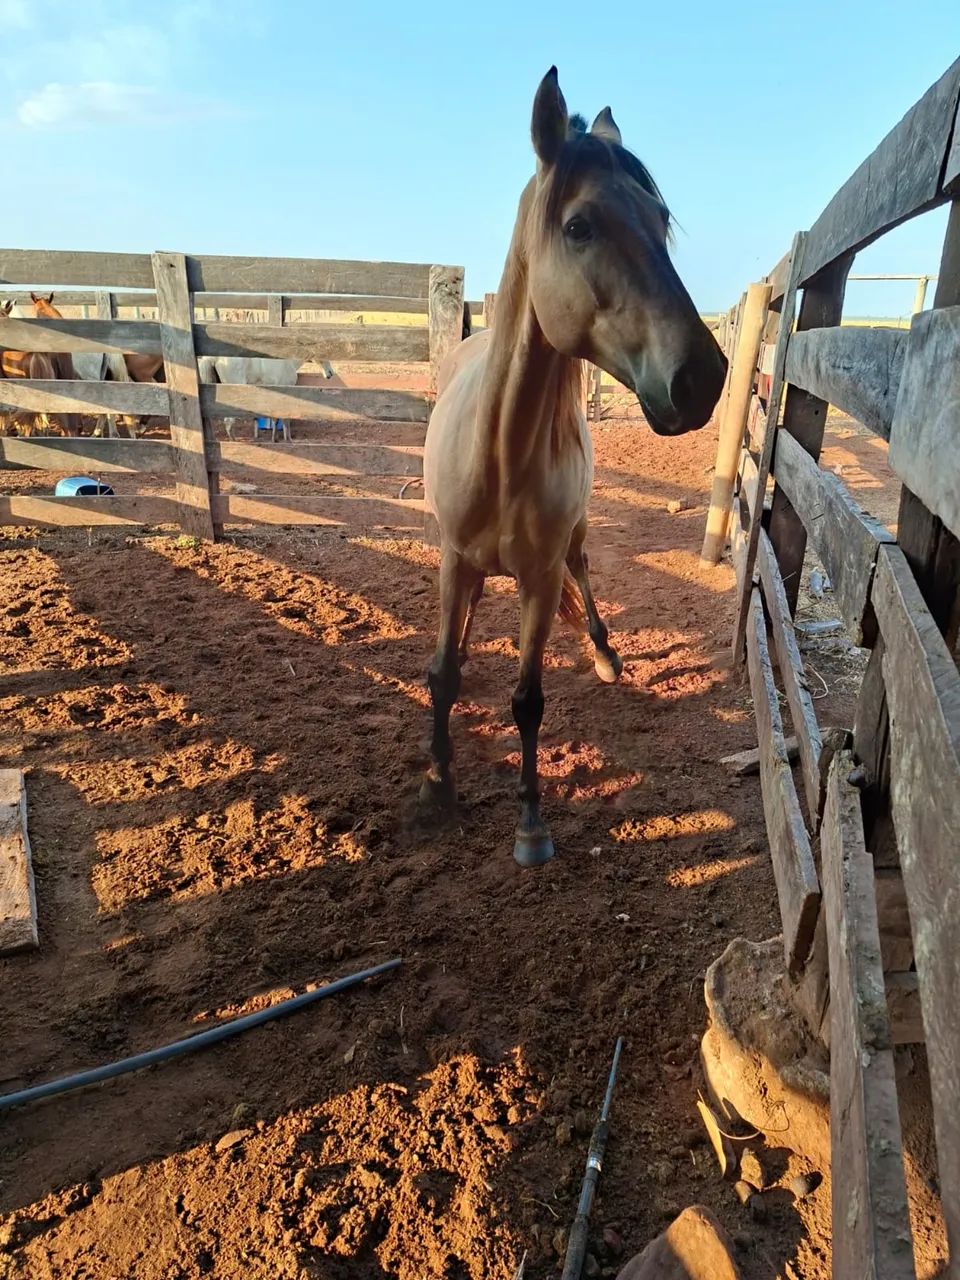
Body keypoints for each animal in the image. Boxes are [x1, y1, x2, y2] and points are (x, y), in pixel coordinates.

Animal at [421, 68, 727, 868]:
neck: (502, 453)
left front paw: (531, 824)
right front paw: (436, 785)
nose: (704, 378)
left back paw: (605, 654)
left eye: (661, 219)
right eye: (580, 225)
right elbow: (443, 675)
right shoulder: (452, 558)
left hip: (578, 535)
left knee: (585, 573)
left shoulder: (538, 575)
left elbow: (528, 701)